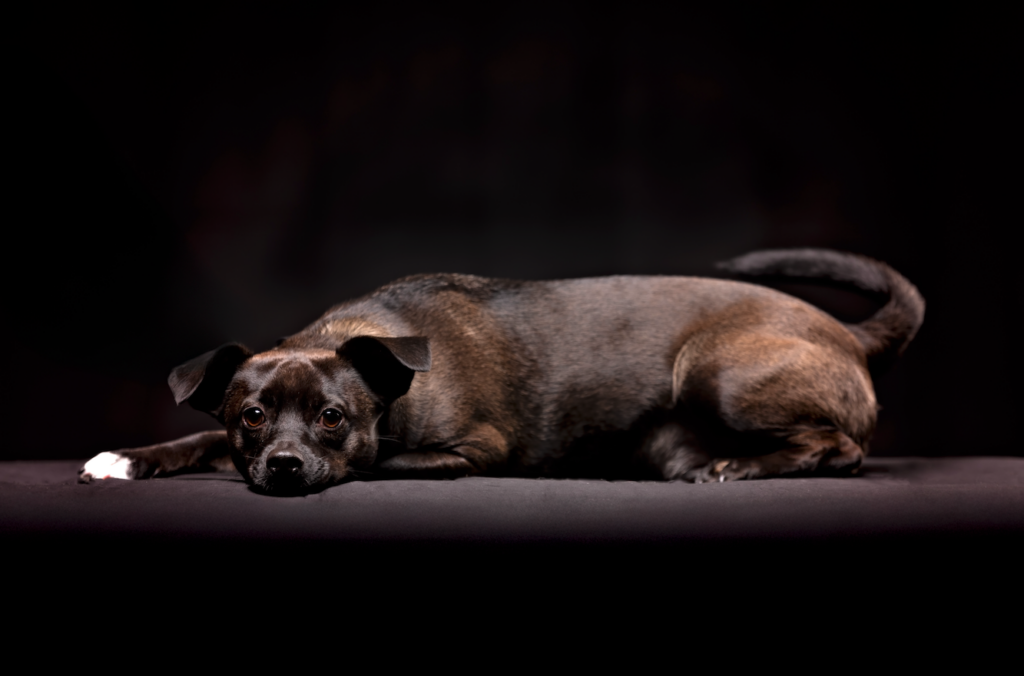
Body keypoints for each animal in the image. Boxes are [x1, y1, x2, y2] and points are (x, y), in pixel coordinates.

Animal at [79, 250, 925, 493]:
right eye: (249, 416)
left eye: (333, 418)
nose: (283, 465)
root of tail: (847, 335)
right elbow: (192, 443)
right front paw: (128, 457)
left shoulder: (470, 449)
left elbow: (380, 461)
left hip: (714, 370)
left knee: (843, 447)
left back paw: (742, 466)